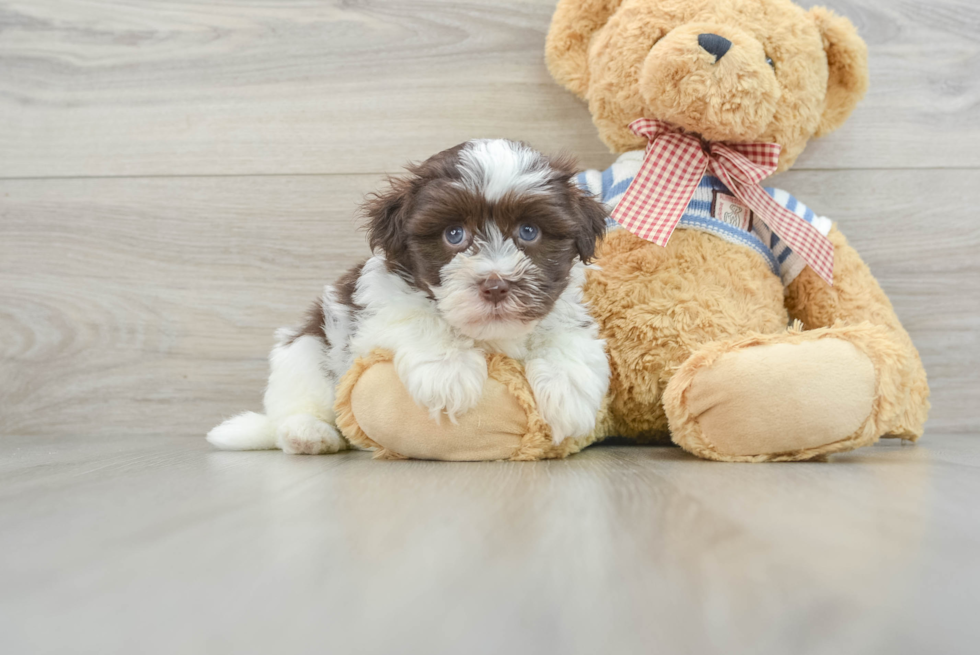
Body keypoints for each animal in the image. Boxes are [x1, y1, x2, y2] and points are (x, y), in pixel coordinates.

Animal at [209, 138, 612, 456]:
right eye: (454, 234)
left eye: (529, 231)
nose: (495, 285)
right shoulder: (379, 308)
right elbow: (421, 319)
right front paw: (449, 372)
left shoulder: (566, 309)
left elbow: (566, 337)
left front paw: (568, 390)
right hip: (305, 351)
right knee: (296, 402)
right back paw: (308, 434)